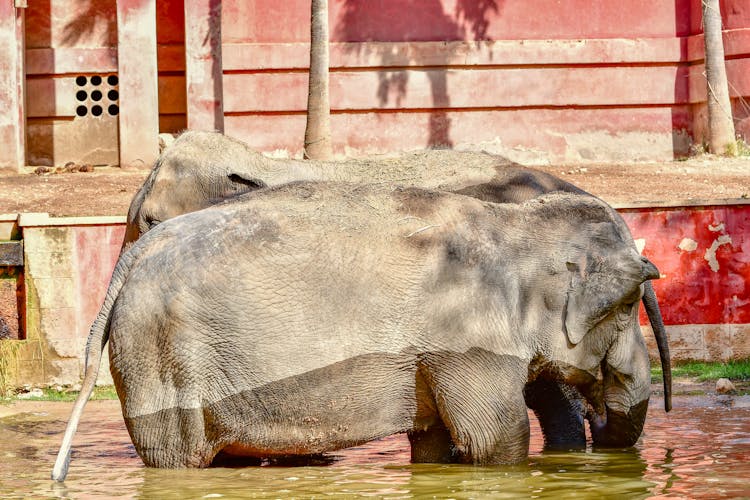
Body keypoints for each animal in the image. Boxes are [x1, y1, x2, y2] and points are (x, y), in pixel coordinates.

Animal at [53, 184, 660, 480]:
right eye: (628, 304)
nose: (599, 415)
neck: (513, 221)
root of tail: (130, 257)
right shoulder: (467, 338)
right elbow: (495, 438)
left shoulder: (432, 353)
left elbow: (433, 442)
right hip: (160, 355)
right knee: (177, 456)